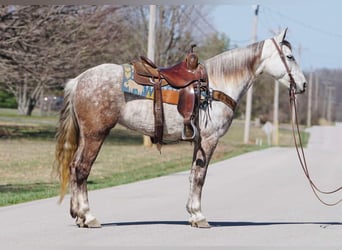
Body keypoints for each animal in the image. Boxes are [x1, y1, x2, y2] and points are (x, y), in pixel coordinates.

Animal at [54, 29, 306, 229]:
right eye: (290, 56)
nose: (303, 84)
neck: (216, 85)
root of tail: (79, 80)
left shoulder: (198, 141)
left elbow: (193, 174)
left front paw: (193, 214)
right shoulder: (209, 139)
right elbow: (201, 177)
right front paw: (200, 216)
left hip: (87, 136)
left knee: (74, 167)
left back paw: (79, 216)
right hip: (95, 134)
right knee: (82, 169)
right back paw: (88, 216)